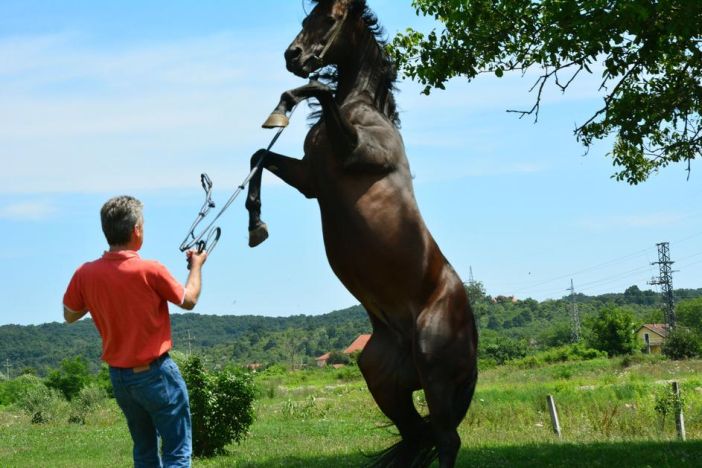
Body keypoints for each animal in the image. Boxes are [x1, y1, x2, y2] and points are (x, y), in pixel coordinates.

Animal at [246, 1, 478, 466]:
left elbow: (319, 90)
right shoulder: (310, 180)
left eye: (331, 18)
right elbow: (259, 155)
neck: (364, 110)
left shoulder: (354, 153)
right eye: (306, 18)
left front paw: (283, 105)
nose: (293, 56)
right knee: (416, 436)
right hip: (383, 380)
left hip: (436, 375)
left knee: (447, 440)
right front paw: (255, 224)